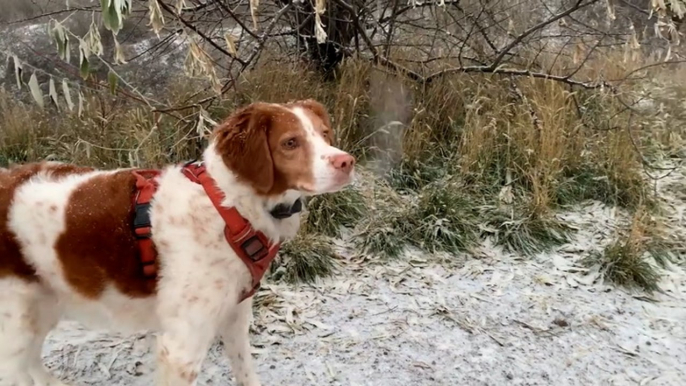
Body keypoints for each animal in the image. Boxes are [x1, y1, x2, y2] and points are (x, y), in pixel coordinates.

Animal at [0, 100, 354, 386]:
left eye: (324, 134)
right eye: (290, 142)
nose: (346, 162)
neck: (230, 207)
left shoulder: (234, 314)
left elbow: (246, 372)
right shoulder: (181, 346)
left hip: (42, 306)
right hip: (16, 321)